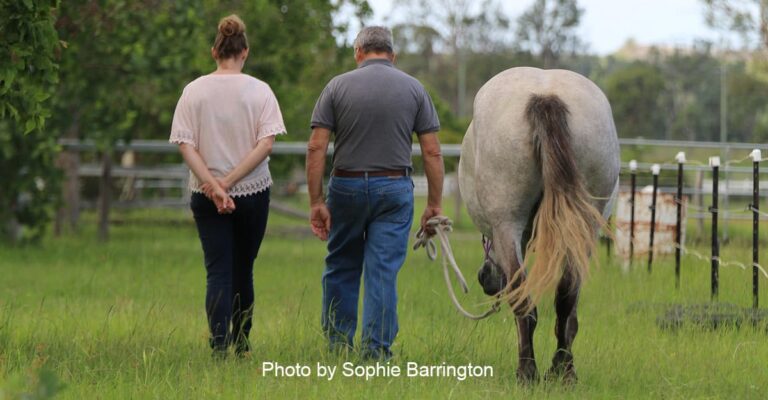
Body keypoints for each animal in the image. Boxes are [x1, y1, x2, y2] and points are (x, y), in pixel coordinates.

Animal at [458, 67, 620, 383]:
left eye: (485, 239)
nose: (485, 278)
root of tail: (546, 96)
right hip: (581, 228)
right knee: (566, 301)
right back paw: (563, 371)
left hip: (508, 225)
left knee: (525, 304)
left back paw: (527, 371)